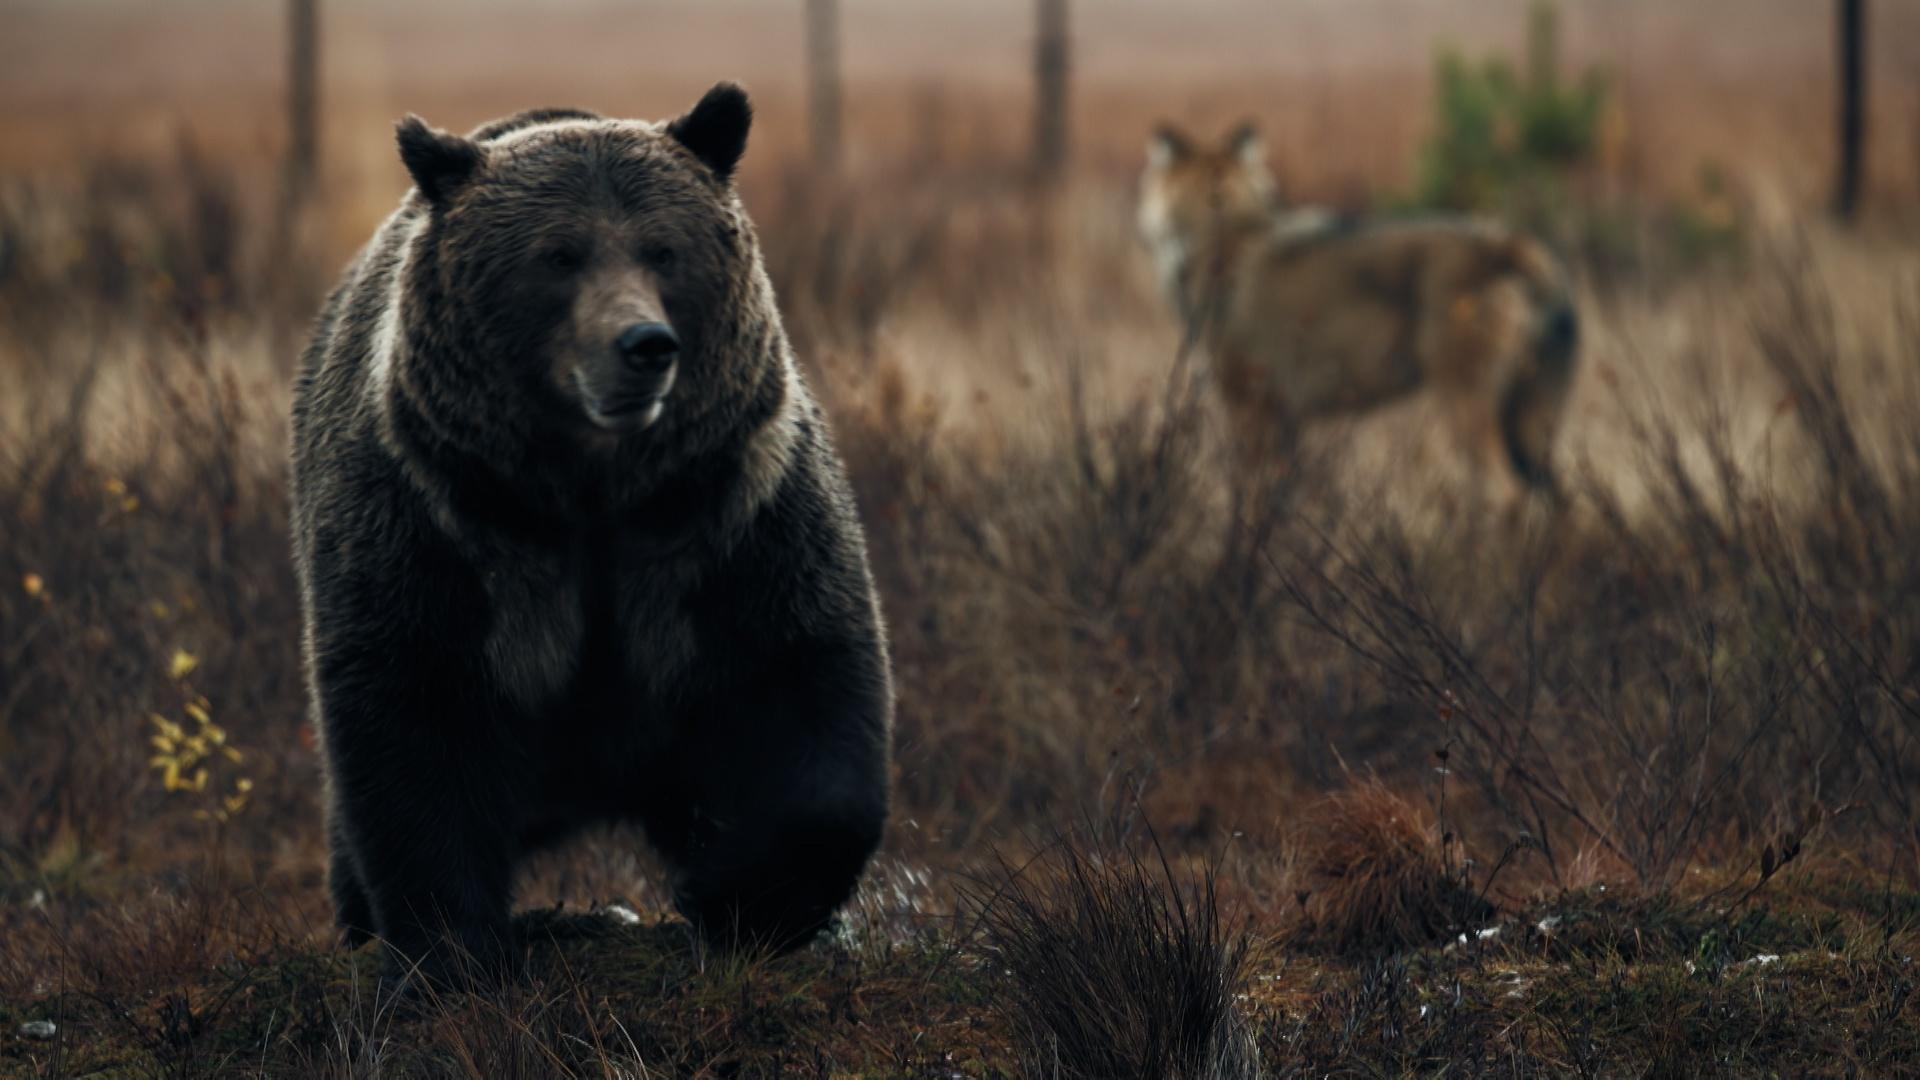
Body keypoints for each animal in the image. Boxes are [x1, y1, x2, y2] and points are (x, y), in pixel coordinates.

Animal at [288, 79, 894, 980]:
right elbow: (417, 719)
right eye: (559, 255)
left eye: (662, 250)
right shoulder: (443, 521)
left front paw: (733, 894)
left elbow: (802, 685)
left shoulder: (728, 513)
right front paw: (450, 950)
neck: (593, 494)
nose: (642, 345)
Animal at [1136, 121, 1574, 491]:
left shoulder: (1249, 409)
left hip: (1467, 412)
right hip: (1531, 437)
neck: (1218, 236)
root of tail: (1504, 243)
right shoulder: (1286, 421)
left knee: (1508, 495)